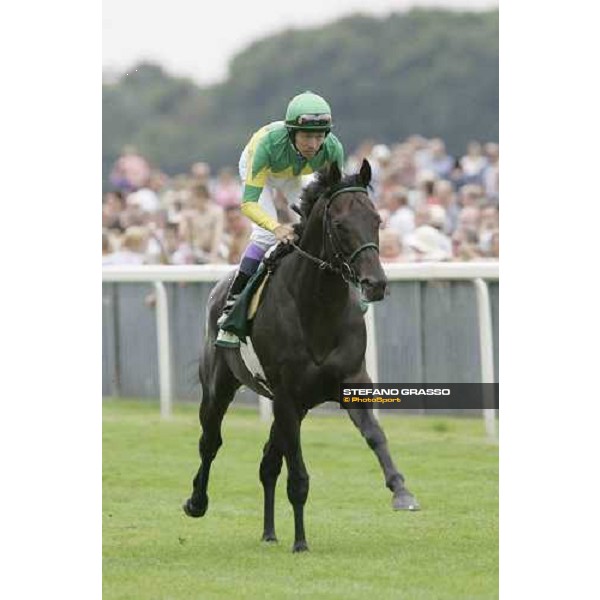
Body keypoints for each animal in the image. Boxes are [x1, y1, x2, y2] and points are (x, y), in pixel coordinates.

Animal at [185, 161, 420, 552]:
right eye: (339, 224)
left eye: (377, 219)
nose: (375, 283)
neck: (318, 308)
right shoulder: (285, 394)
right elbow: (298, 474)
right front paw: (301, 542)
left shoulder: (351, 383)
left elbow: (376, 436)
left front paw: (401, 491)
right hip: (220, 386)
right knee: (210, 442)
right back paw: (196, 502)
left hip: (298, 405)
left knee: (268, 462)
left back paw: (269, 532)